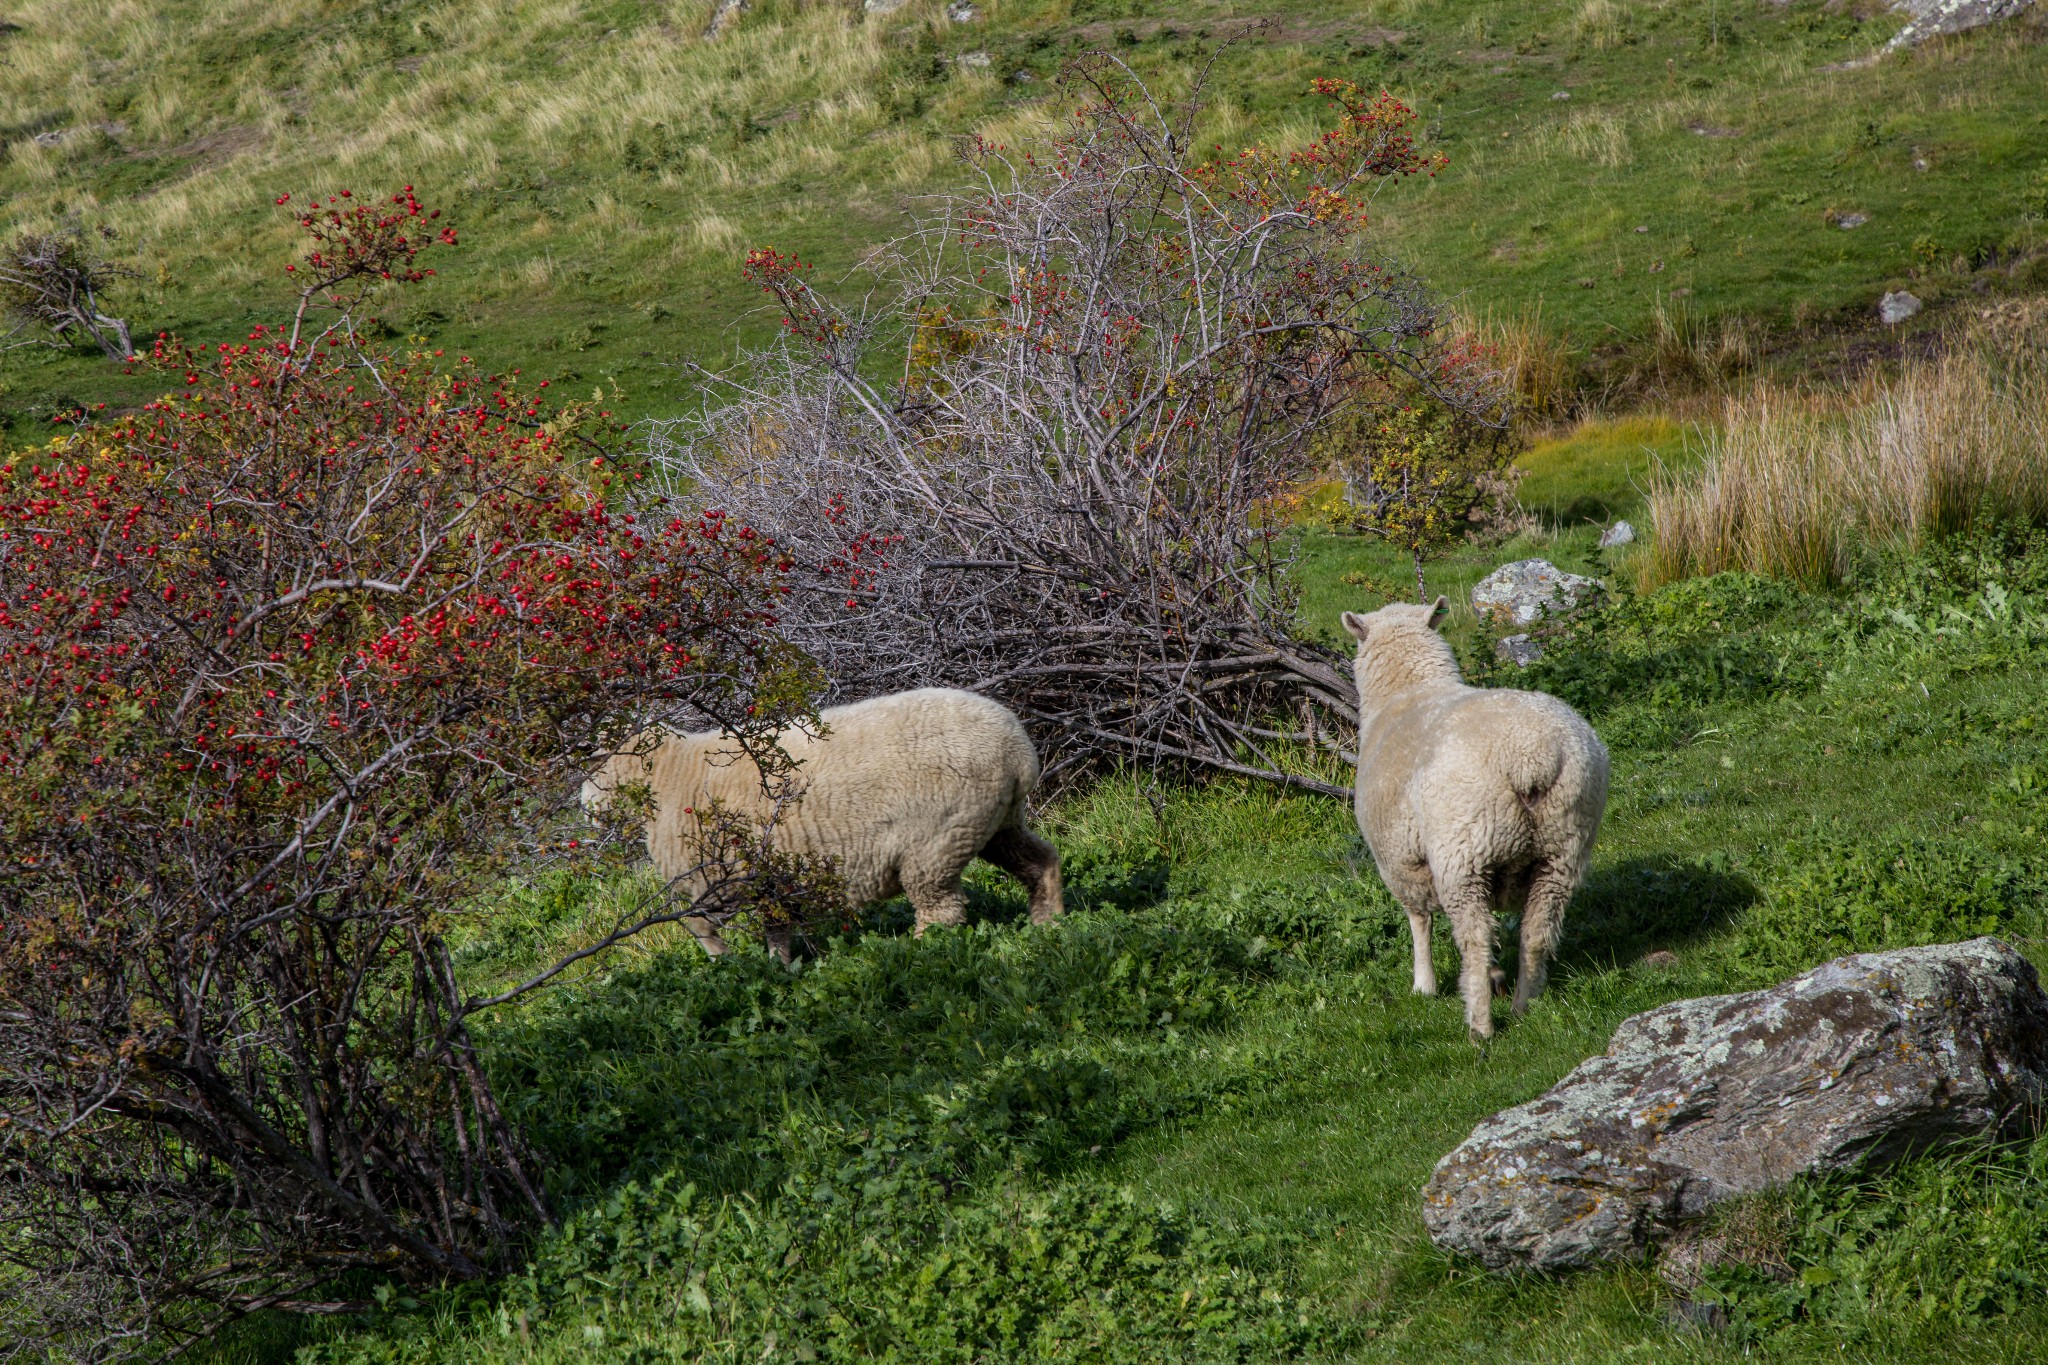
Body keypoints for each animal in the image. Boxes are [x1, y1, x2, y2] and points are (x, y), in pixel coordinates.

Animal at [577, 687, 1056, 957]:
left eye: (592, 765)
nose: (586, 810)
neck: (666, 774)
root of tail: (1018, 750)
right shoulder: (768, 875)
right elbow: (777, 927)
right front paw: (782, 967)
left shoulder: (714, 876)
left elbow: (699, 924)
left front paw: (724, 962)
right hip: (991, 821)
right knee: (1040, 860)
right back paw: (1048, 922)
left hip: (937, 834)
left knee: (941, 907)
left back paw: (918, 954)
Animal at [1343, 597, 1613, 1047]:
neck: (1409, 690)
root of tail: (1530, 758)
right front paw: (1496, 977)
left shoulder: (1398, 862)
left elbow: (1419, 921)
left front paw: (1424, 985)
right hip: (1563, 847)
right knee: (1535, 933)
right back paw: (1522, 1005)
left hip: (1464, 851)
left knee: (1475, 938)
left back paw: (1480, 1024)